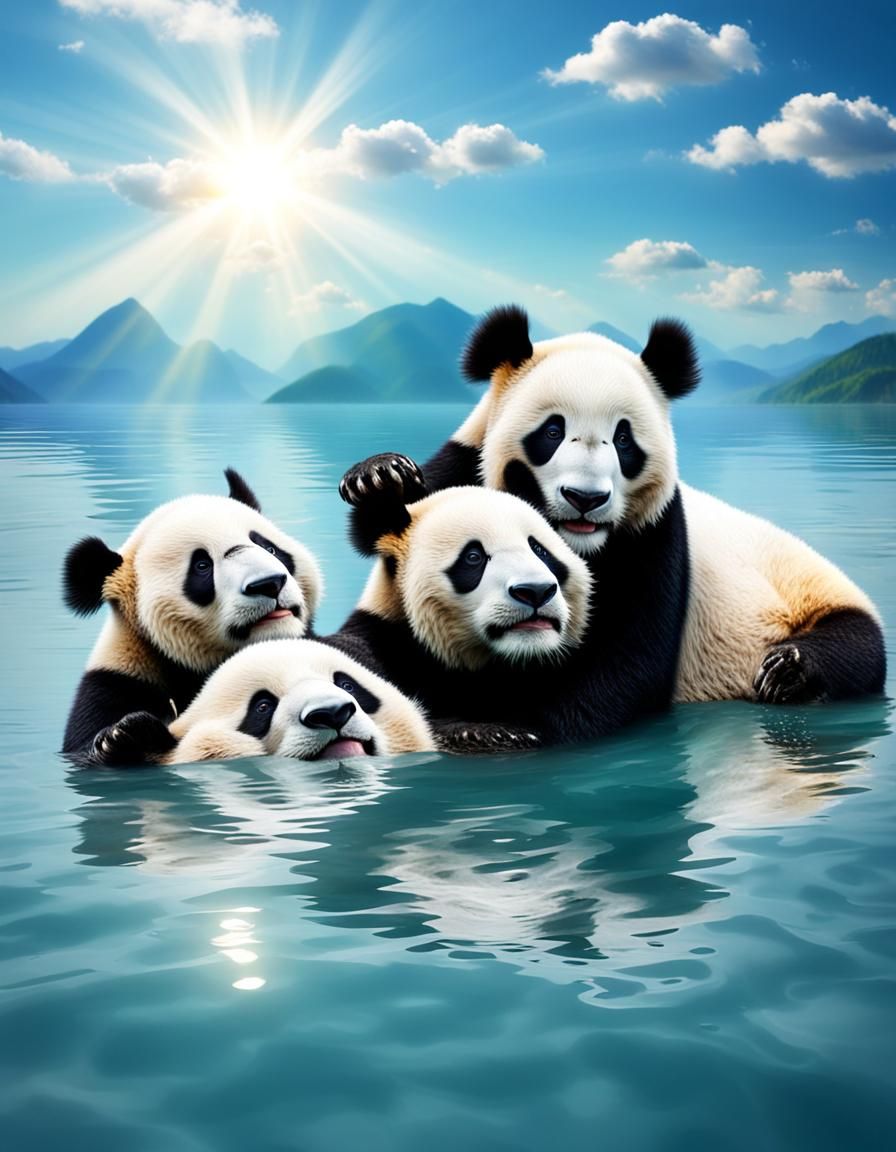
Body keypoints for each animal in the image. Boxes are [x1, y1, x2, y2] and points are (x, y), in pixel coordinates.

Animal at [341, 305, 886, 708]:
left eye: (624, 440)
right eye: (552, 431)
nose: (586, 499)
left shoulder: (656, 535)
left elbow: (627, 660)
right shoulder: (462, 469)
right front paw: (380, 478)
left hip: (806, 600)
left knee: (854, 647)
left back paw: (788, 671)